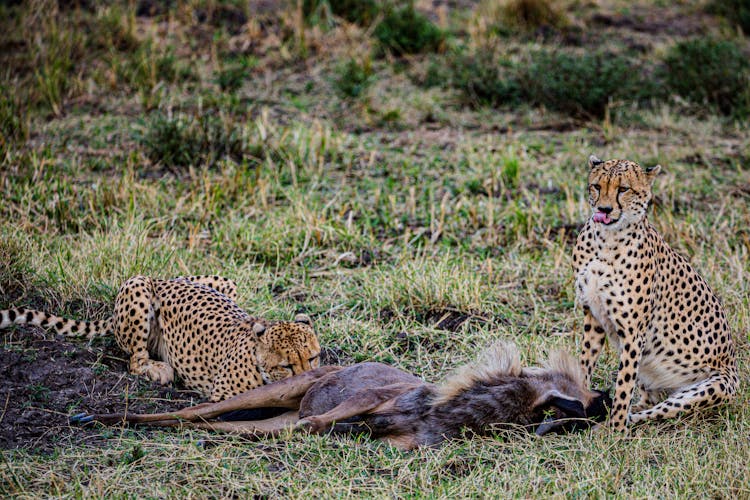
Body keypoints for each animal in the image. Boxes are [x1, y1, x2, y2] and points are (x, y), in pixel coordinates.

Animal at [0, 276, 320, 400]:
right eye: (286, 366)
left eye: (314, 358)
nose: (307, 381)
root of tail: (165, 278)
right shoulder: (224, 397)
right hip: (137, 285)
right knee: (134, 359)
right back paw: (159, 369)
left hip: (226, 282)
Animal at [576, 155, 740, 430]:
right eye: (597, 186)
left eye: (623, 189)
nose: (604, 209)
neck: (606, 239)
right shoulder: (593, 317)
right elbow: (584, 364)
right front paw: (575, 406)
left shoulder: (633, 332)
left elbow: (623, 384)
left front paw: (614, 430)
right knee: (648, 400)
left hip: (712, 387)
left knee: (654, 410)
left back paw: (616, 421)